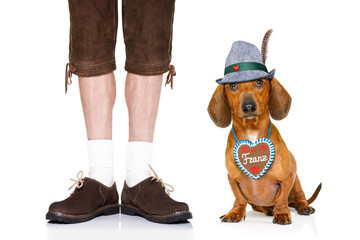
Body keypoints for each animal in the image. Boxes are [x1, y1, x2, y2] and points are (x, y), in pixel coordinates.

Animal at [208, 31, 320, 224]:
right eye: (233, 86)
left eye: (259, 82)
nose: (248, 107)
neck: (252, 132)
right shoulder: (232, 179)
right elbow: (239, 198)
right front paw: (235, 212)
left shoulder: (287, 178)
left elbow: (281, 199)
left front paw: (281, 213)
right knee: (256, 205)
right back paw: (266, 209)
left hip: (296, 182)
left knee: (299, 197)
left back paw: (302, 206)